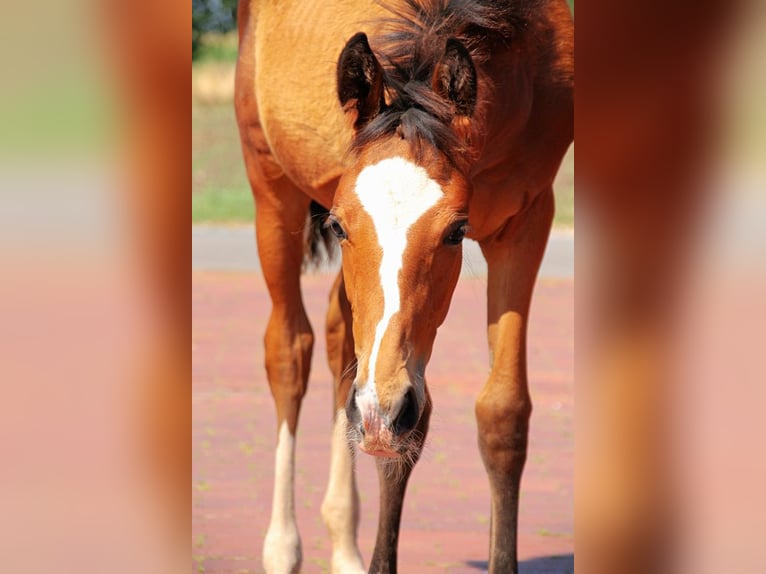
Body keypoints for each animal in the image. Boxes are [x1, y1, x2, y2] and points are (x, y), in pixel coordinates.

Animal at [234, 1, 573, 572]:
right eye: (339, 226)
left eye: (457, 231)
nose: (380, 410)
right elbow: (397, 439)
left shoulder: (527, 219)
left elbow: (502, 414)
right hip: (270, 187)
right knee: (289, 351)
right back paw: (283, 548)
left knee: (339, 338)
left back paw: (343, 541)